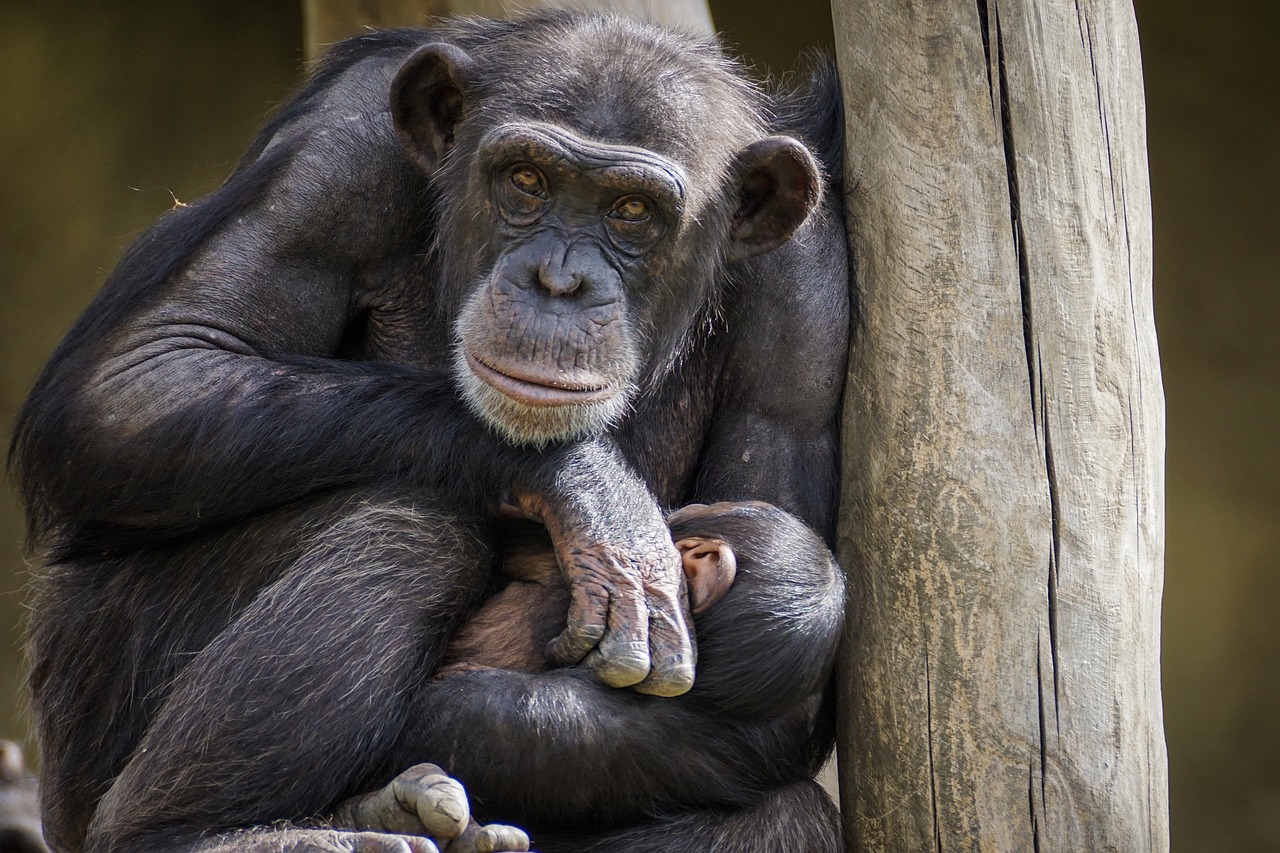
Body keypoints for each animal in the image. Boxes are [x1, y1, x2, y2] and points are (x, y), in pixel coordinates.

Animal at [12, 11, 849, 850]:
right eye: (526, 180)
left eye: (632, 212)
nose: (559, 281)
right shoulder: (339, 152)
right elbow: (144, 375)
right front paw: (593, 492)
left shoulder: (809, 304)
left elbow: (774, 705)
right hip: (90, 706)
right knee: (417, 531)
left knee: (785, 815)